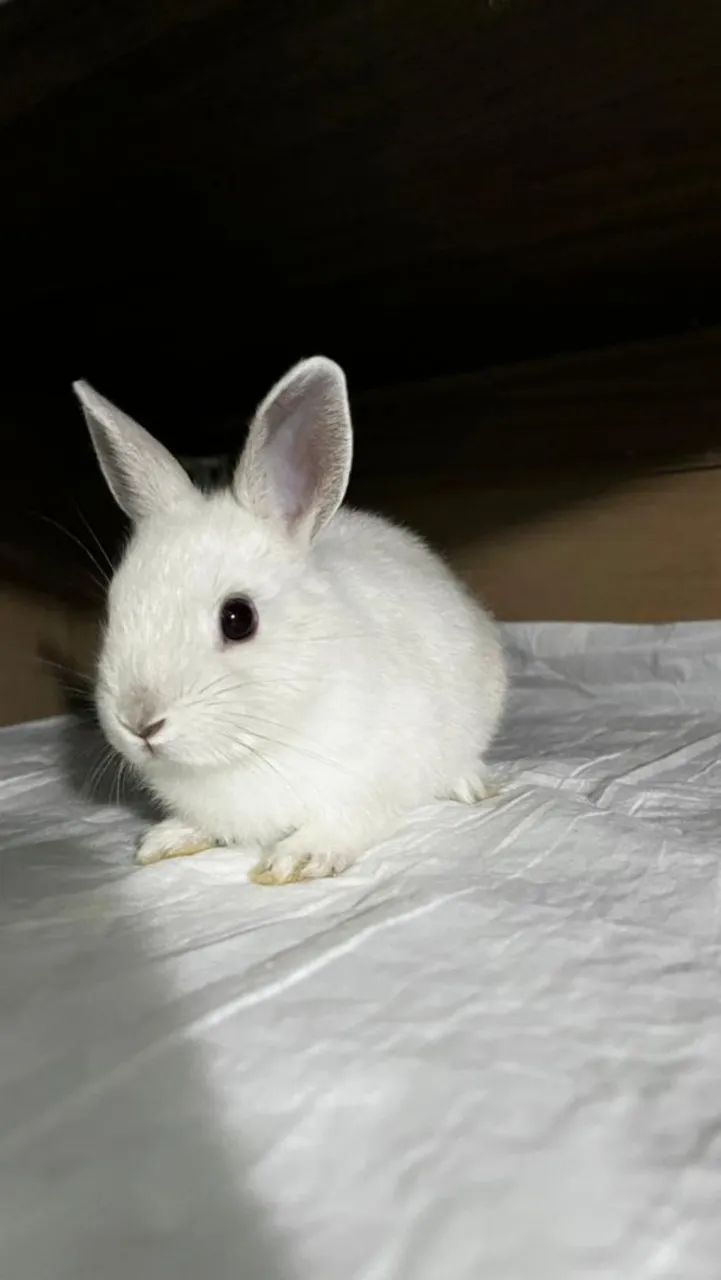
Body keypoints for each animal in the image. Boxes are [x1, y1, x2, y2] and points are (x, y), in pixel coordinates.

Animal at [74, 357, 507, 883]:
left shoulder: (368, 783)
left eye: (238, 618)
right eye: (114, 607)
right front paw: (165, 839)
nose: (139, 724)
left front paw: (296, 860)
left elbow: (346, 821)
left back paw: (472, 785)